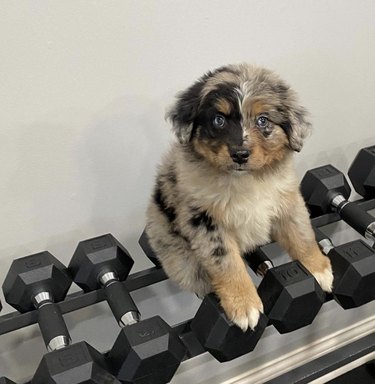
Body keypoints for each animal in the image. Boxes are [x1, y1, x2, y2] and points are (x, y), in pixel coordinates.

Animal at [145, 64, 334, 332]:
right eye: (219, 119)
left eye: (263, 120)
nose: (240, 154)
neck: (245, 180)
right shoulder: (205, 221)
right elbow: (227, 263)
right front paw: (244, 304)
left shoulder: (287, 200)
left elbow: (302, 235)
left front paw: (319, 268)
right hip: (177, 254)